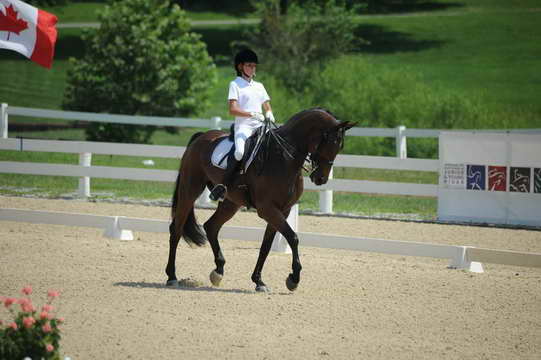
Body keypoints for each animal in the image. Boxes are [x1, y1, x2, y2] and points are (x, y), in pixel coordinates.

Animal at [167, 107, 356, 292]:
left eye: (340, 146)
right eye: (330, 142)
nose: (321, 178)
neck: (284, 158)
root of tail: (202, 136)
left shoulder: (283, 210)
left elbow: (267, 245)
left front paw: (259, 281)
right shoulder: (267, 209)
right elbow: (293, 237)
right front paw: (293, 279)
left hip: (231, 202)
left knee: (211, 226)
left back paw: (218, 271)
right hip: (190, 190)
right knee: (176, 229)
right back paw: (172, 276)